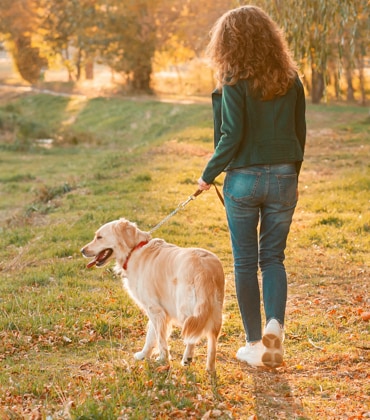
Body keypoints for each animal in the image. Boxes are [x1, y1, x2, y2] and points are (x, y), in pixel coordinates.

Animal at [81, 218, 224, 372]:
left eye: (99, 237)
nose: (82, 250)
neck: (133, 250)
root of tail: (205, 270)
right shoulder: (155, 310)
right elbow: (151, 335)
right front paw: (144, 354)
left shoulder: (154, 309)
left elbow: (160, 338)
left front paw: (162, 359)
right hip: (215, 312)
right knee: (212, 341)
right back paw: (208, 368)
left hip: (184, 310)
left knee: (192, 337)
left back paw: (188, 358)